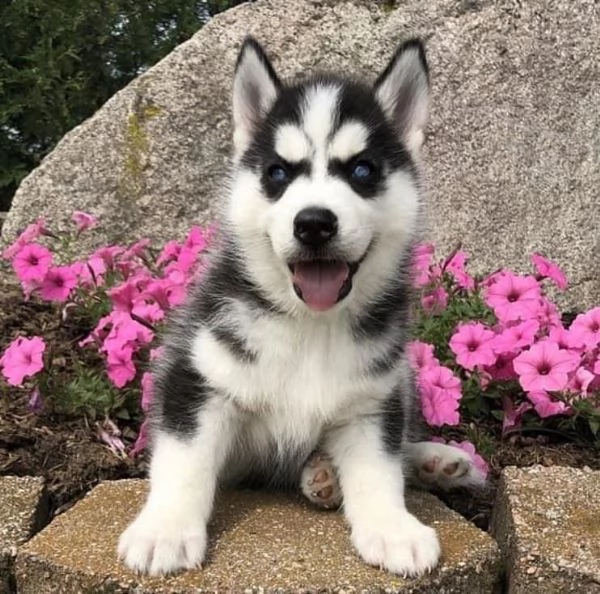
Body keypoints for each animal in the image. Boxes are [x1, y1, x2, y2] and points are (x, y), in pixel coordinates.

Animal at [118, 35, 488, 572]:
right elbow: (185, 461)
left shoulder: (371, 399)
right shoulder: (198, 377)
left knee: (399, 444)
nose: (314, 223)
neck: (311, 325)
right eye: (277, 173)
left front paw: (392, 527)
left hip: (403, 378)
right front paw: (164, 529)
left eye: (362, 170)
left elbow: (379, 467)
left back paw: (430, 460)